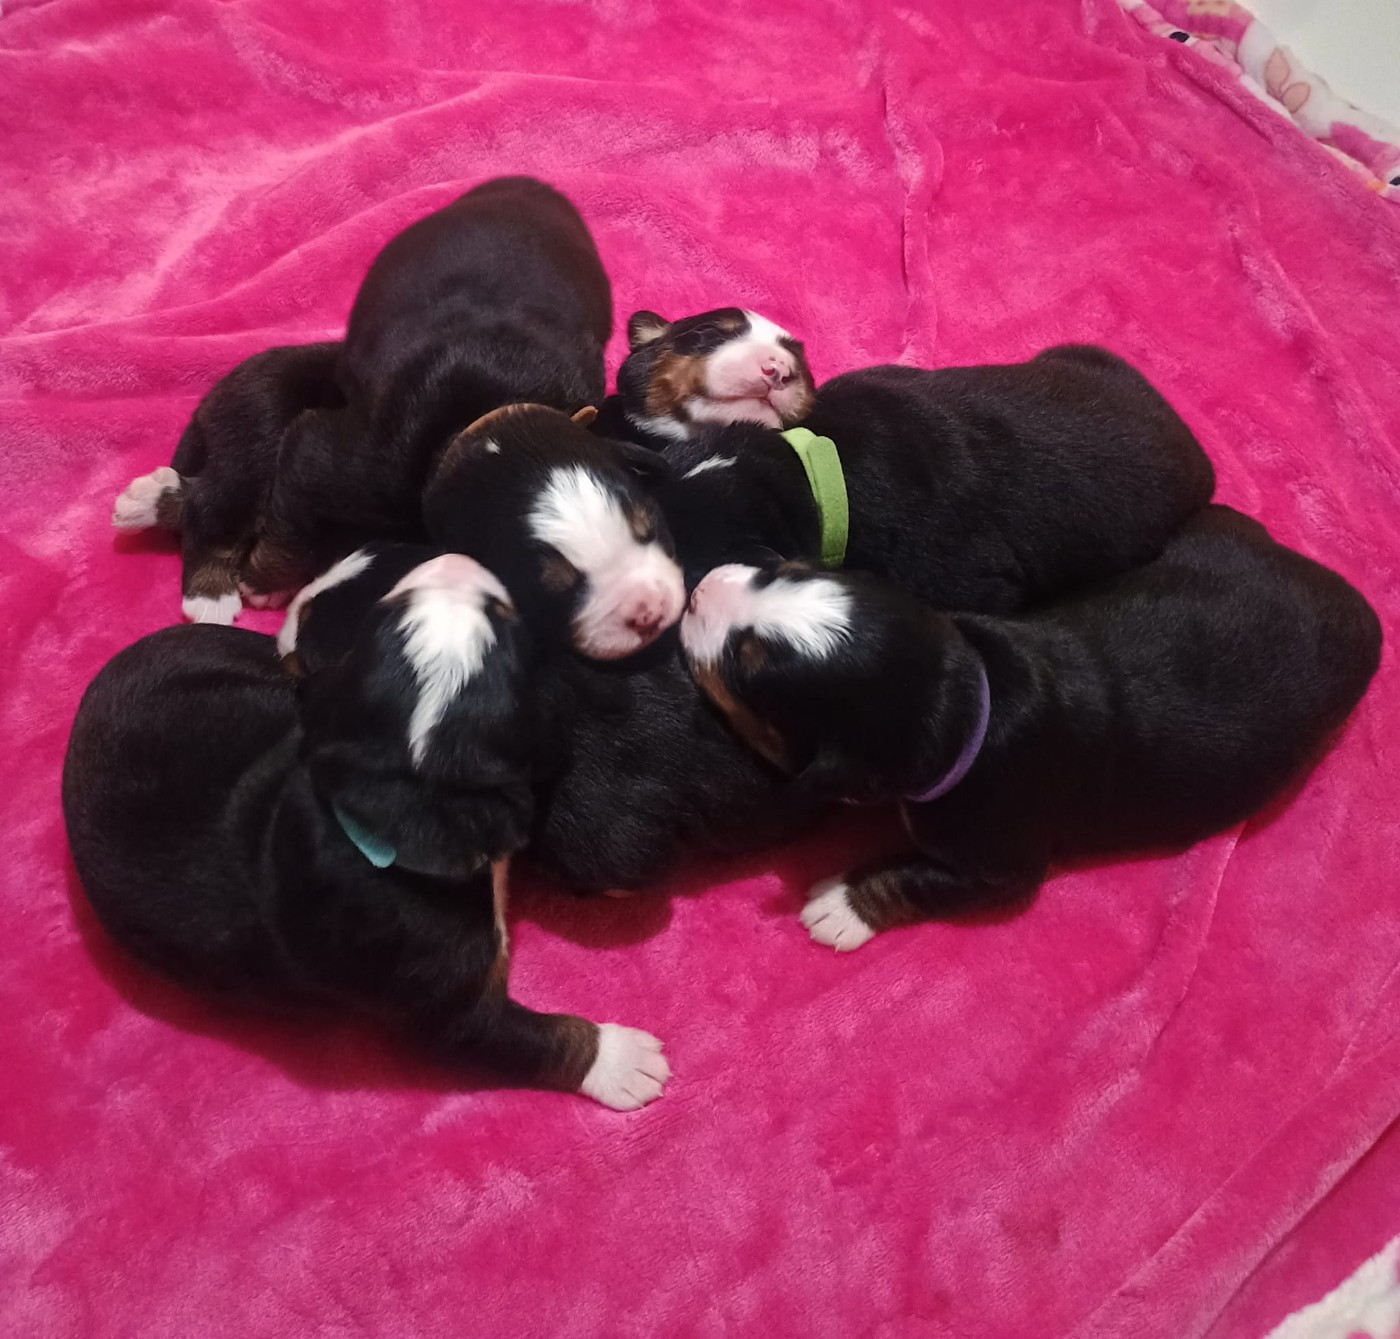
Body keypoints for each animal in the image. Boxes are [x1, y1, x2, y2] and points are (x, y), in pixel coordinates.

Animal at [62, 555, 669, 1108]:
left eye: (389, 610)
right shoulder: (450, 1007)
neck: (403, 797)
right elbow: (531, 1039)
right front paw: (620, 1061)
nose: (452, 560)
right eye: (500, 620)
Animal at [114, 176, 612, 622]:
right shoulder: (327, 455)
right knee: (215, 499)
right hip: (257, 423)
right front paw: (264, 582)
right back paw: (209, 596)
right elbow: (293, 523)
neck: (492, 408)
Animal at [678, 507, 1382, 950]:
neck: (974, 699)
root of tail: (1354, 601)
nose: (700, 587)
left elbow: (919, 879)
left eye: (745, 662)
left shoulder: (999, 862)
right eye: (788, 572)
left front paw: (840, 906)